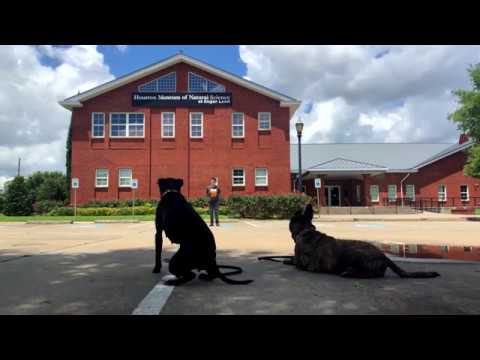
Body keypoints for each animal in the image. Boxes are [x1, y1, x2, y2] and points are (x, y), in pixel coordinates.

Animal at [258, 205, 438, 278]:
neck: (305, 230)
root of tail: (384, 257)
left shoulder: (301, 263)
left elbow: (290, 261)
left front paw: (285, 260)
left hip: (354, 253)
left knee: (370, 274)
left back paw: (349, 272)